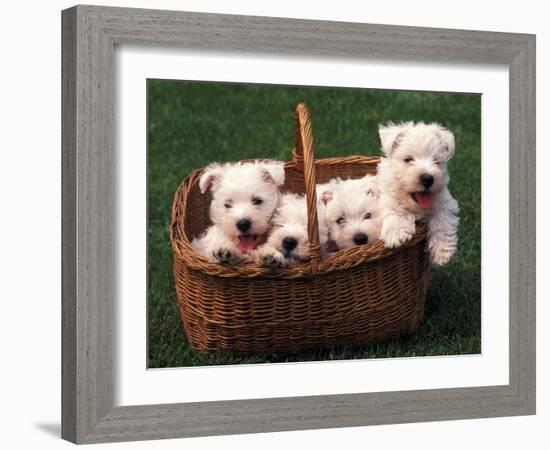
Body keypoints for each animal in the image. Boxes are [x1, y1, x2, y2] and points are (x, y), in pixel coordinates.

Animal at [380, 121, 462, 266]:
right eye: (408, 159)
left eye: (436, 161)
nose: (428, 179)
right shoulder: (388, 197)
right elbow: (394, 211)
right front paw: (396, 234)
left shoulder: (444, 201)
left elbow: (442, 221)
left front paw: (442, 252)